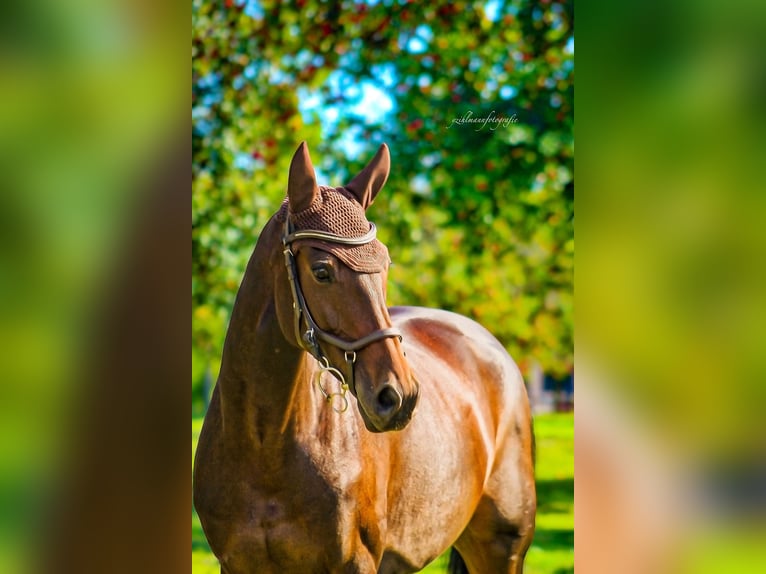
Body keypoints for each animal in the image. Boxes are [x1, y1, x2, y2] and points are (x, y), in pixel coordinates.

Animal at [193, 142, 536, 573]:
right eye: (322, 270)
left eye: (385, 264)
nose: (399, 396)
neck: (263, 445)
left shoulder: (356, 562)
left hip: (502, 547)